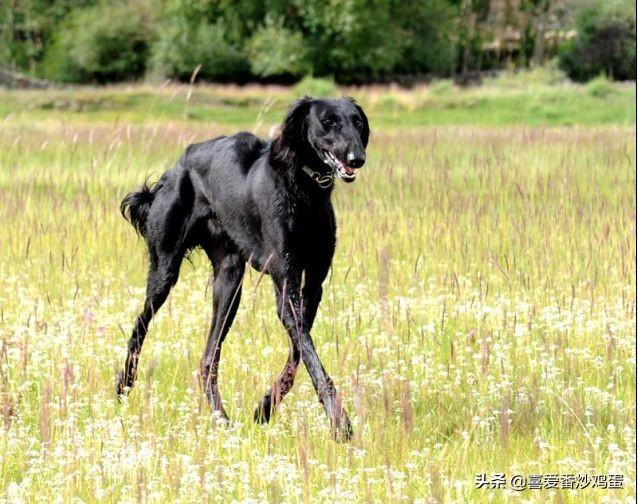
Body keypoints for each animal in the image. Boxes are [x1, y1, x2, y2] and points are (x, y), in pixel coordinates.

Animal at [117, 95, 370, 440]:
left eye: (357, 121)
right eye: (328, 122)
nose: (357, 158)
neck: (303, 188)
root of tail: (179, 164)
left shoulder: (313, 284)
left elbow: (298, 353)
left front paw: (264, 408)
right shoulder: (286, 284)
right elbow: (309, 356)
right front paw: (340, 423)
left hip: (229, 281)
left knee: (208, 359)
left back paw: (221, 419)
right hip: (165, 270)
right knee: (140, 325)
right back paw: (124, 385)